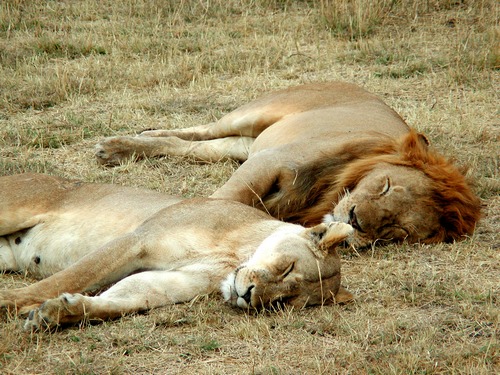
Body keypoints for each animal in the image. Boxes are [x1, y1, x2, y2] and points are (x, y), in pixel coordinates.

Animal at [0, 173, 354, 328]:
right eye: (287, 267)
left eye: (281, 303)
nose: (248, 295)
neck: (233, 256)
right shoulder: (137, 239)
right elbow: (68, 278)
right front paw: (11, 302)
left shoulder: (175, 281)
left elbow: (124, 299)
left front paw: (58, 313)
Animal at [94, 82, 480, 247]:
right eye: (385, 185)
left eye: (396, 230)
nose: (356, 220)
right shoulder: (270, 161)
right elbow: (225, 199)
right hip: (253, 115)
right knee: (199, 129)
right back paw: (118, 145)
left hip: (243, 144)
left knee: (193, 146)